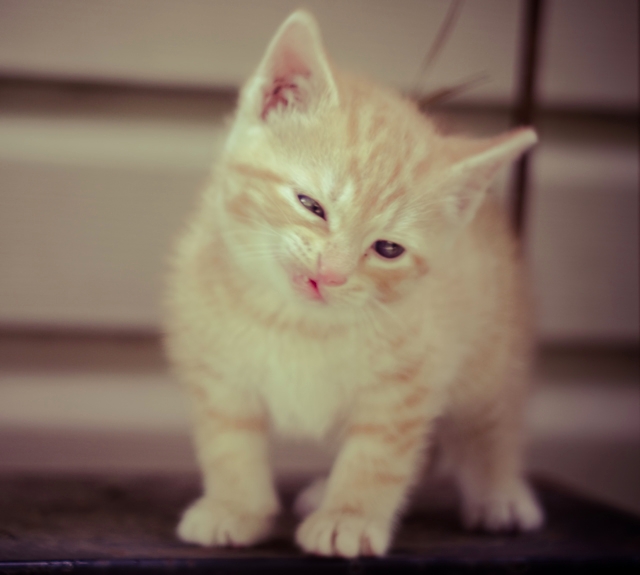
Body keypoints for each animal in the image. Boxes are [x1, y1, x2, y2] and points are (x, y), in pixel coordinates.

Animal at [165, 9, 544, 560]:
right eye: (310, 205)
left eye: (387, 249)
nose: (331, 273)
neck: (298, 323)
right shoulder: (217, 370)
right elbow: (228, 442)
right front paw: (235, 507)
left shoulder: (408, 385)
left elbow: (377, 456)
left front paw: (349, 516)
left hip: (492, 351)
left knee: (491, 423)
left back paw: (501, 493)